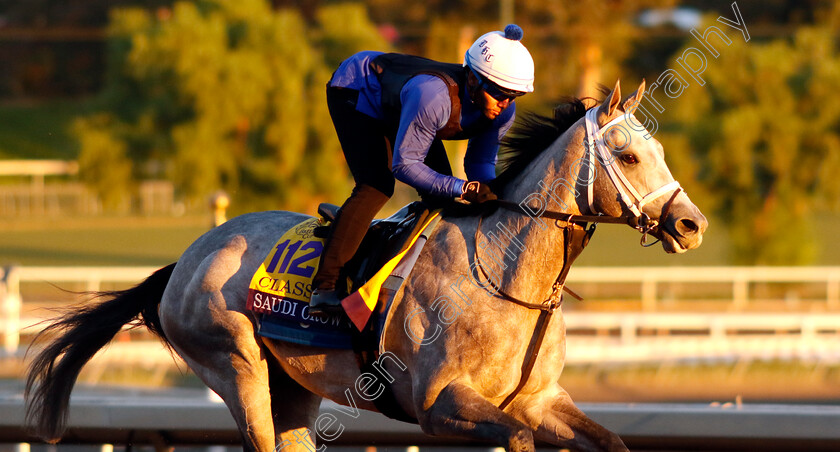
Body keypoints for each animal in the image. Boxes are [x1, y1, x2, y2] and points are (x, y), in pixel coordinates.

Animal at [26, 81, 704, 452]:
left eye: (659, 150)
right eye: (628, 154)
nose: (690, 223)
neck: (506, 277)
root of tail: (188, 259)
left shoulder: (541, 399)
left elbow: (608, 439)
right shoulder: (440, 404)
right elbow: (513, 435)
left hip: (294, 386)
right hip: (234, 365)